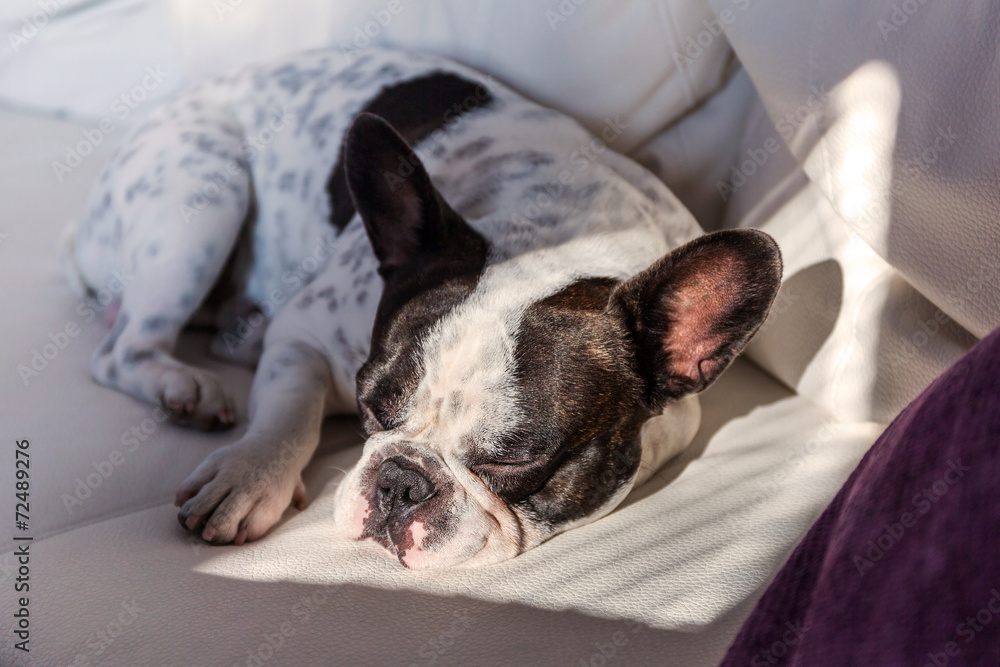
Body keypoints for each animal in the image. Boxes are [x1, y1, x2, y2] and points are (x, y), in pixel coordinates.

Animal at [62, 48, 780, 568]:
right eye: (374, 405)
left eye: (513, 462)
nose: (399, 482)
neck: (559, 230)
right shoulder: (306, 333)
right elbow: (288, 412)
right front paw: (249, 474)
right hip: (204, 191)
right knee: (119, 351)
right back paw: (184, 386)